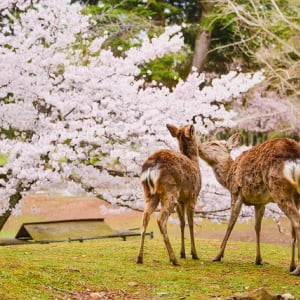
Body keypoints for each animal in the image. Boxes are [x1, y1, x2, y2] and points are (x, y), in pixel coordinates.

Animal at [137, 123, 200, 264]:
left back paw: (139, 258)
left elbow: (182, 222)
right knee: (160, 219)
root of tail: (151, 167)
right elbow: (191, 222)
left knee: (144, 218)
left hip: (150, 194)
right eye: (194, 132)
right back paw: (173, 259)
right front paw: (194, 254)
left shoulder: (181, 200)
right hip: (170, 192)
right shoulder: (193, 196)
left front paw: (183, 253)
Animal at [198, 134, 300, 276]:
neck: (227, 178)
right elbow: (257, 227)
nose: (197, 146)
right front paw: (258, 259)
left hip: (279, 187)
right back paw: (293, 266)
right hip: (296, 194)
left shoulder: (236, 191)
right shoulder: (260, 202)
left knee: (296, 222)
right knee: (293, 226)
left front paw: (218, 255)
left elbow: (231, 222)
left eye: (214, 144)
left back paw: (297, 270)